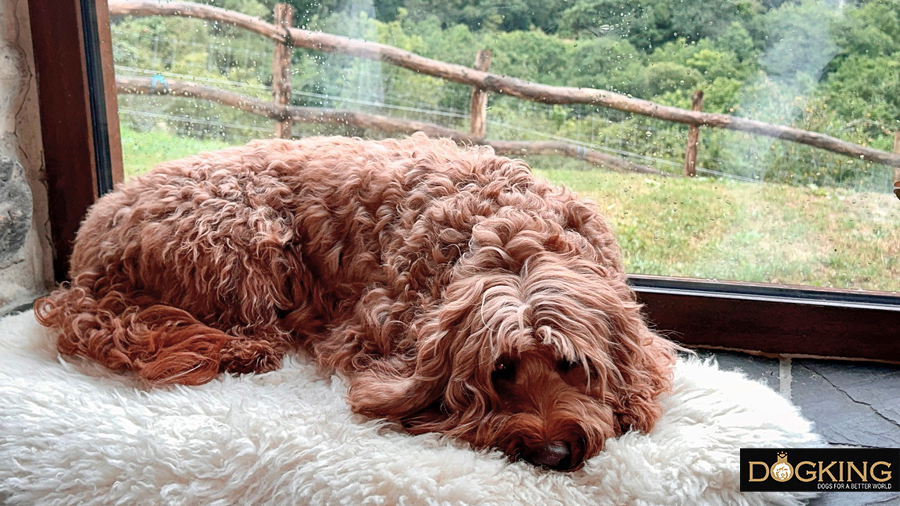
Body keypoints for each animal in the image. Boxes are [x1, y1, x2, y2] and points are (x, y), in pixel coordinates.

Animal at [37, 133, 676, 470]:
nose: (552, 451)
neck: (512, 239)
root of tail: (90, 244)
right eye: (500, 371)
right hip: (246, 235)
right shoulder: (372, 324)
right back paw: (246, 351)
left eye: (572, 365)